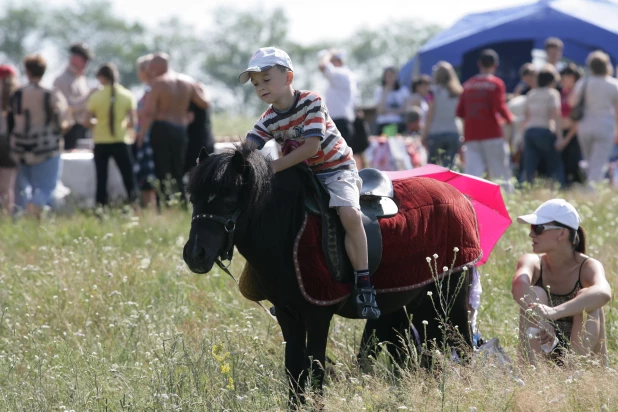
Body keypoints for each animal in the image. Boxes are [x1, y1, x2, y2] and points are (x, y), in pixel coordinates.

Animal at [183, 143, 476, 404]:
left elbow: (314, 369)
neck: (288, 225)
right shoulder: (287, 314)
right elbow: (294, 368)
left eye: (229, 201)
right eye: (194, 199)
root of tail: (460, 198)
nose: (195, 254)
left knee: (463, 347)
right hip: (413, 305)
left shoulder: (317, 314)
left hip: (450, 299)